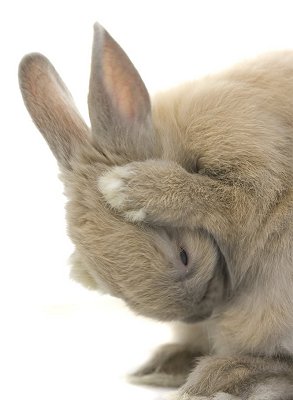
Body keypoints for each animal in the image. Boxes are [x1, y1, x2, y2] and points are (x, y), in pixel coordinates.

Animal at [18, 22, 292, 400]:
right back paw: (163, 367)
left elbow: (224, 200)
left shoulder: (258, 174)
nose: (199, 314)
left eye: (185, 255)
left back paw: (221, 380)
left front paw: (129, 188)